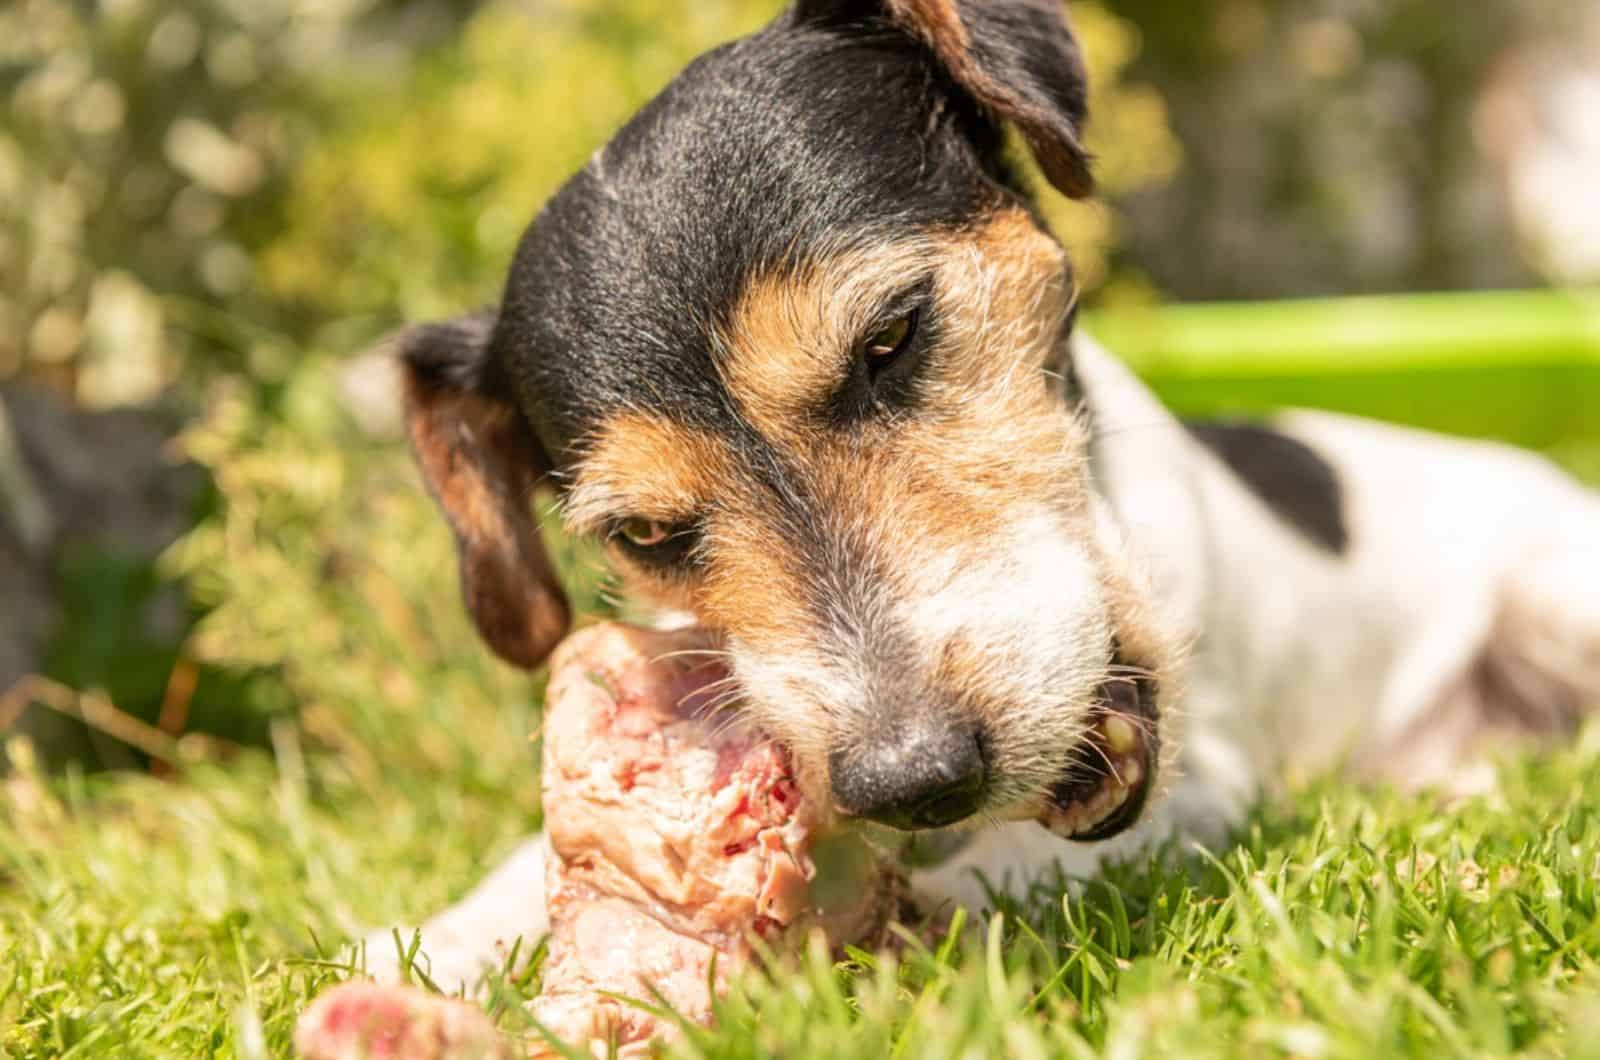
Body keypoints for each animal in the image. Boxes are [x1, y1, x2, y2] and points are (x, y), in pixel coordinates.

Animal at [363, 0, 1600, 999]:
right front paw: (441, 940)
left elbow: (991, 877)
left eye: (893, 334)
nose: (912, 781)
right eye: (648, 531)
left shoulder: (1207, 785)